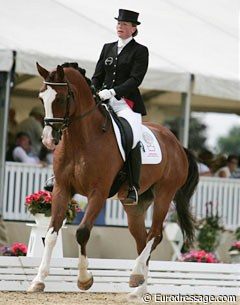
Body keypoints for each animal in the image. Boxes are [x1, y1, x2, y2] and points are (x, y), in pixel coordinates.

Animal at [28, 62, 199, 296]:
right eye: (40, 97)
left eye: (61, 98)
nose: (47, 140)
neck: (80, 140)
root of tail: (177, 144)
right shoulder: (62, 189)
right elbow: (52, 233)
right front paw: (38, 281)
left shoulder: (98, 193)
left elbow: (82, 232)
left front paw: (84, 279)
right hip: (135, 205)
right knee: (142, 239)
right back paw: (139, 288)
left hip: (165, 194)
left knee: (155, 235)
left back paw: (135, 275)